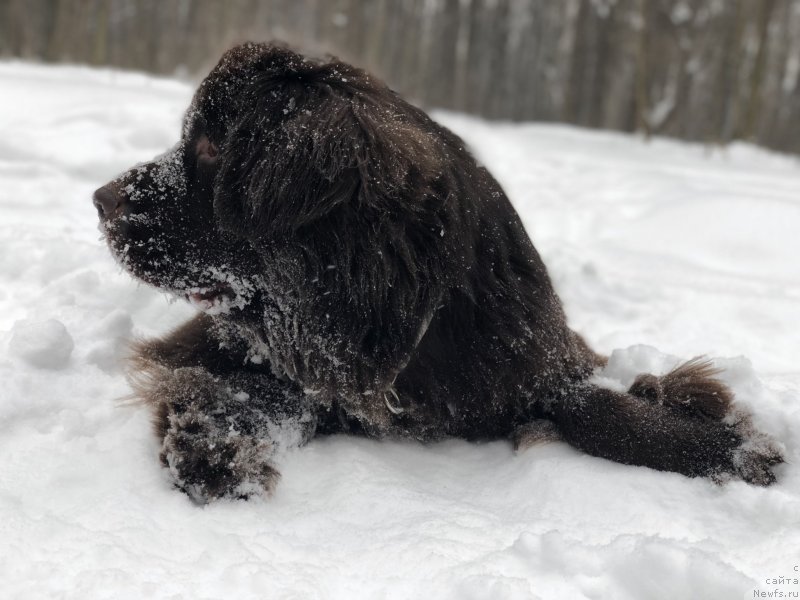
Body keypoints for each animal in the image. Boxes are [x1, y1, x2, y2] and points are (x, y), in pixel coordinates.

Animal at [92, 43, 780, 502]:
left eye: (212, 146)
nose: (99, 199)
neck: (388, 316)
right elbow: (244, 385)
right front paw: (213, 442)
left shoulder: (534, 357)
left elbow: (593, 406)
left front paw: (725, 446)